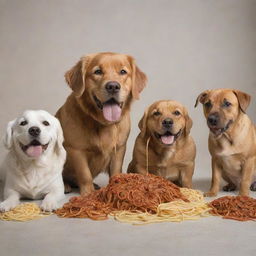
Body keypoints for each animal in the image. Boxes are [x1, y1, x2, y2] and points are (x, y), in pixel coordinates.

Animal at [56, 53, 147, 195]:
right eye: (97, 71)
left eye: (123, 72)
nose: (113, 86)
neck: (104, 123)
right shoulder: (76, 150)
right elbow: (85, 174)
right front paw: (88, 193)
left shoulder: (119, 148)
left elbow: (116, 171)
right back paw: (66, 186)